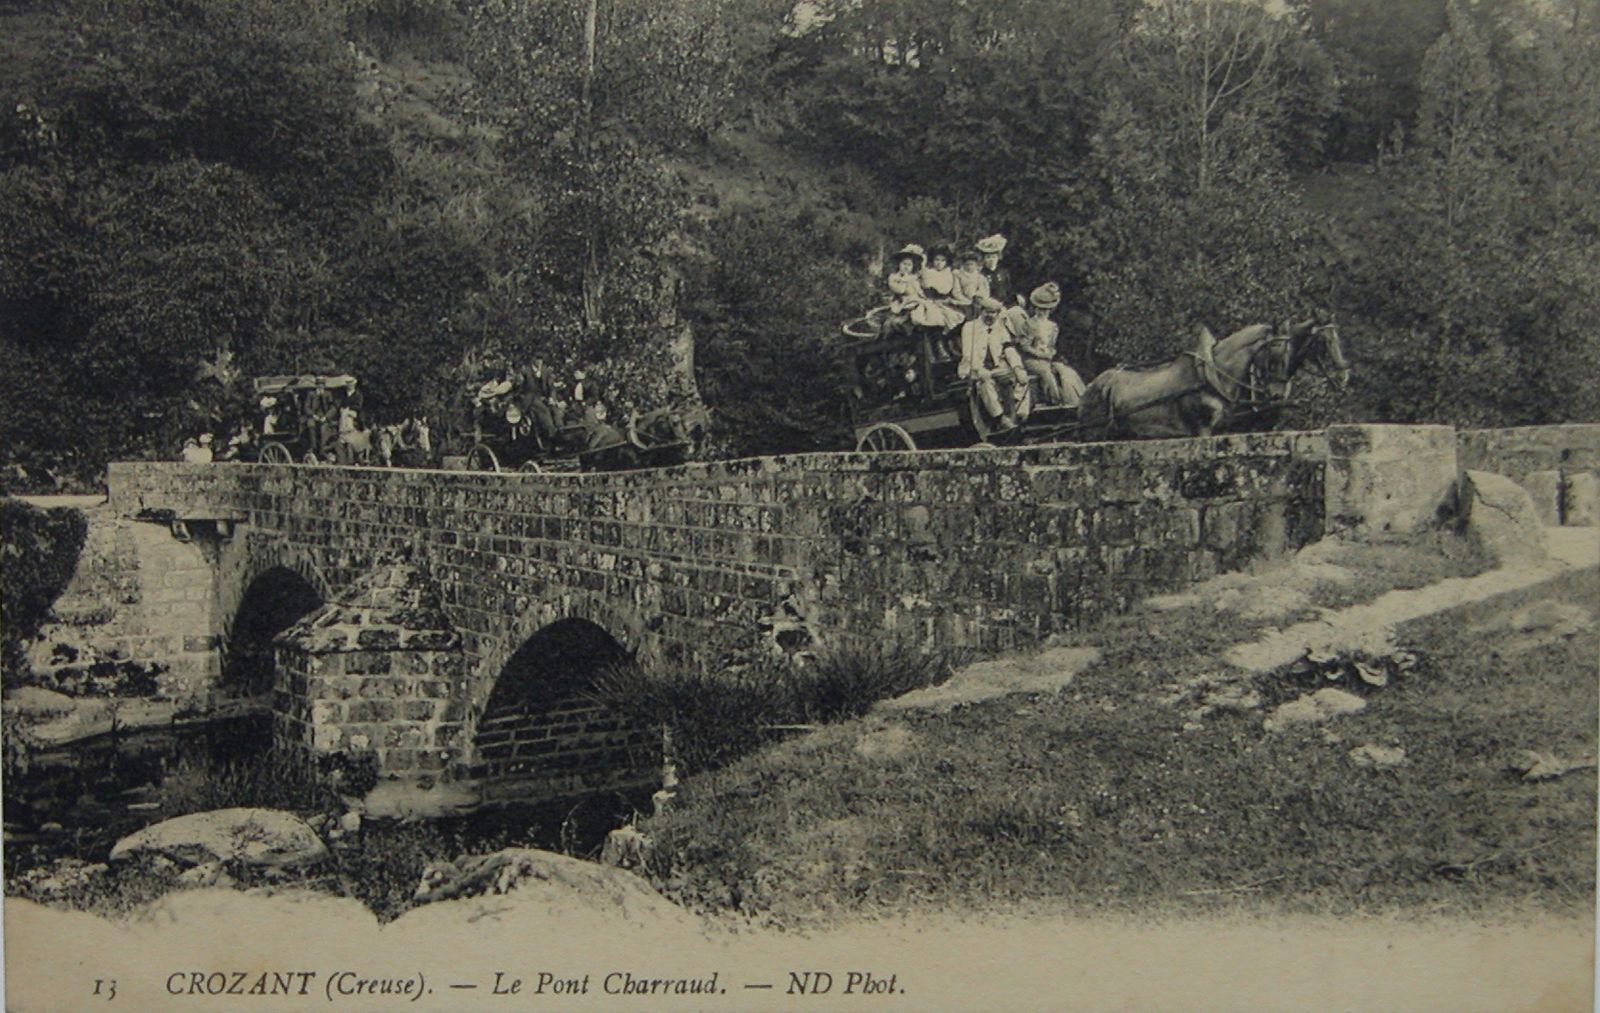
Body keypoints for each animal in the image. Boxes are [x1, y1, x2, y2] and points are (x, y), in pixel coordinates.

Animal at [1075, 312, 1350, 438]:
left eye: (1288, 353)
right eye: (1273, 355)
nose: (1344, 378)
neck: (1216, 378)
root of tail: (1092, 385)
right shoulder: (1204, 430)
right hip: (1094, 432)